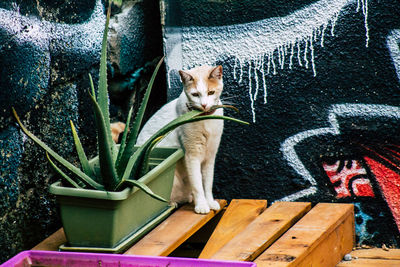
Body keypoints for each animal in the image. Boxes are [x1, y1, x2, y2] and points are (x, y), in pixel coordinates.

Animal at [136, 66, 223, 215]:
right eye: (195, 94)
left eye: (211, 92)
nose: (204, 105)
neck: (205, 118)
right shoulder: (191, 155)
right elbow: (197, 184)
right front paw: (202, 205)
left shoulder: (210, 156)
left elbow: (207, 183)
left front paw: (210, 202)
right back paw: (174, 203)